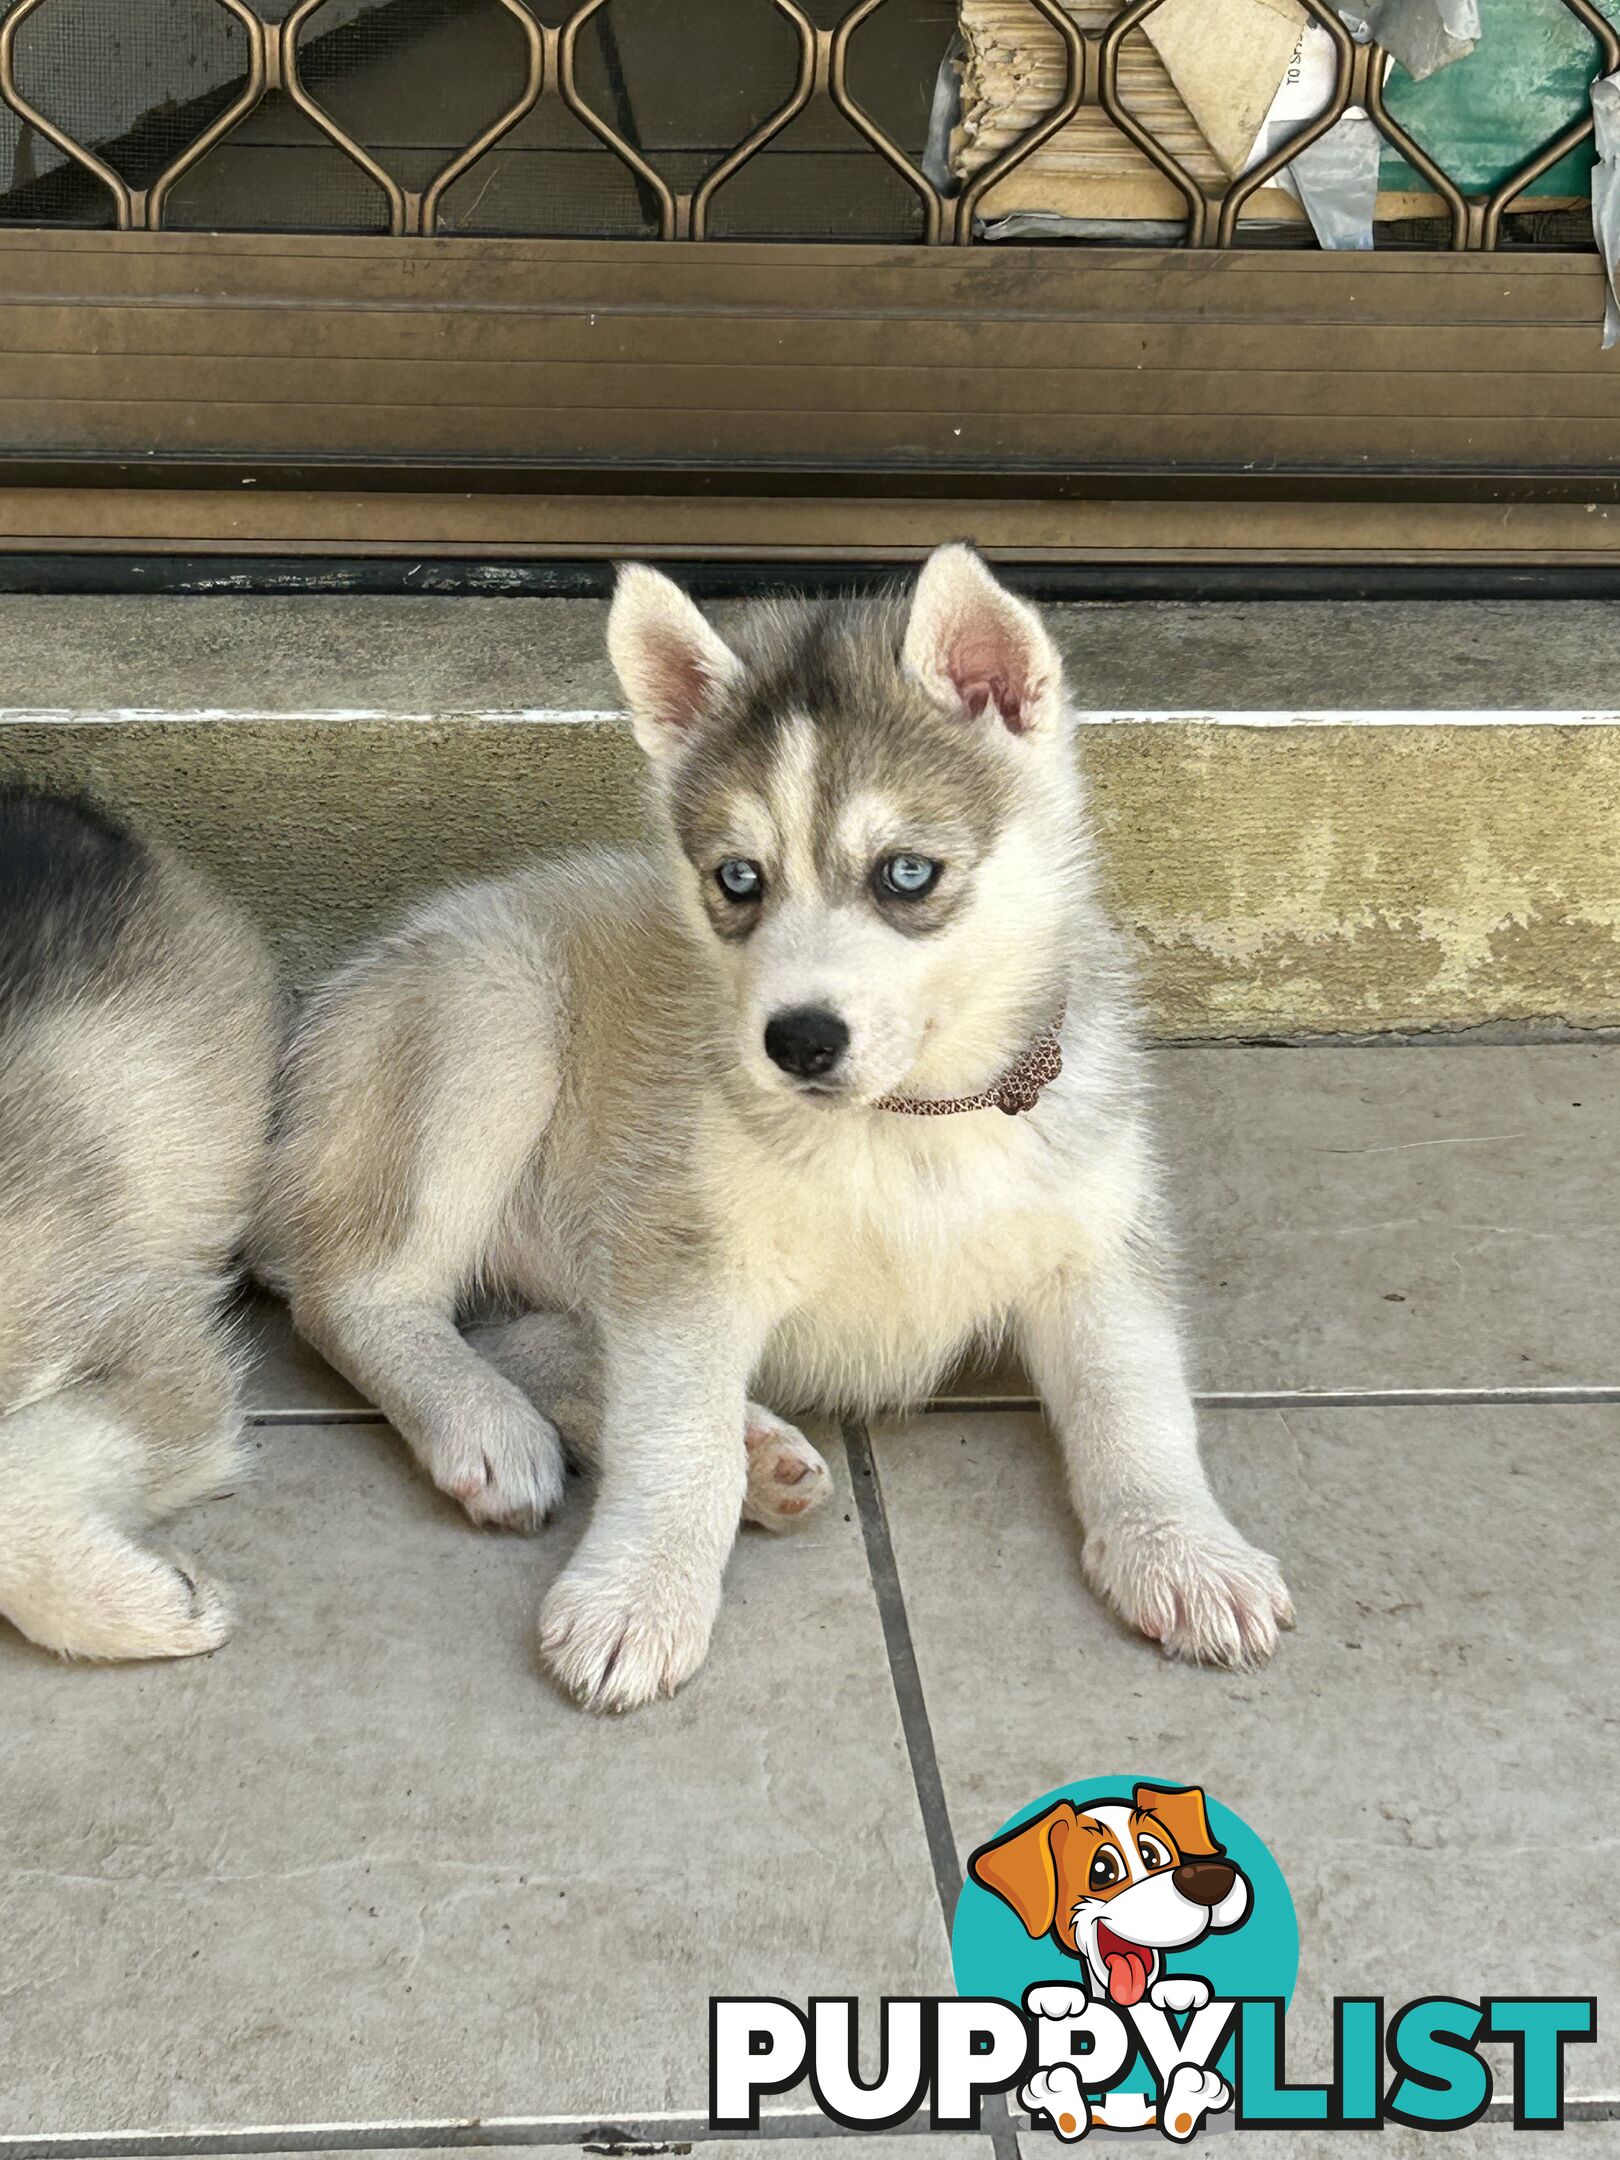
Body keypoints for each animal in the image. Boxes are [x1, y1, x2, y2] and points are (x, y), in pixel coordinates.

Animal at [263, 548, 1296, 1710]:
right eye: (737, 879)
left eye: (906, 873)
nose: (796, 1040)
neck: (908, 1123)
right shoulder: (689, 1255)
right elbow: (677, 1437)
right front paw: (639, 1594)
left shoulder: (1099, 1247)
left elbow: (1138, 1405)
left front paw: (1187, 1552)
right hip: (487, 1020)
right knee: (358, 1298)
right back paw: (485, 1425)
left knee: (522, 1327)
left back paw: (748, 1449)